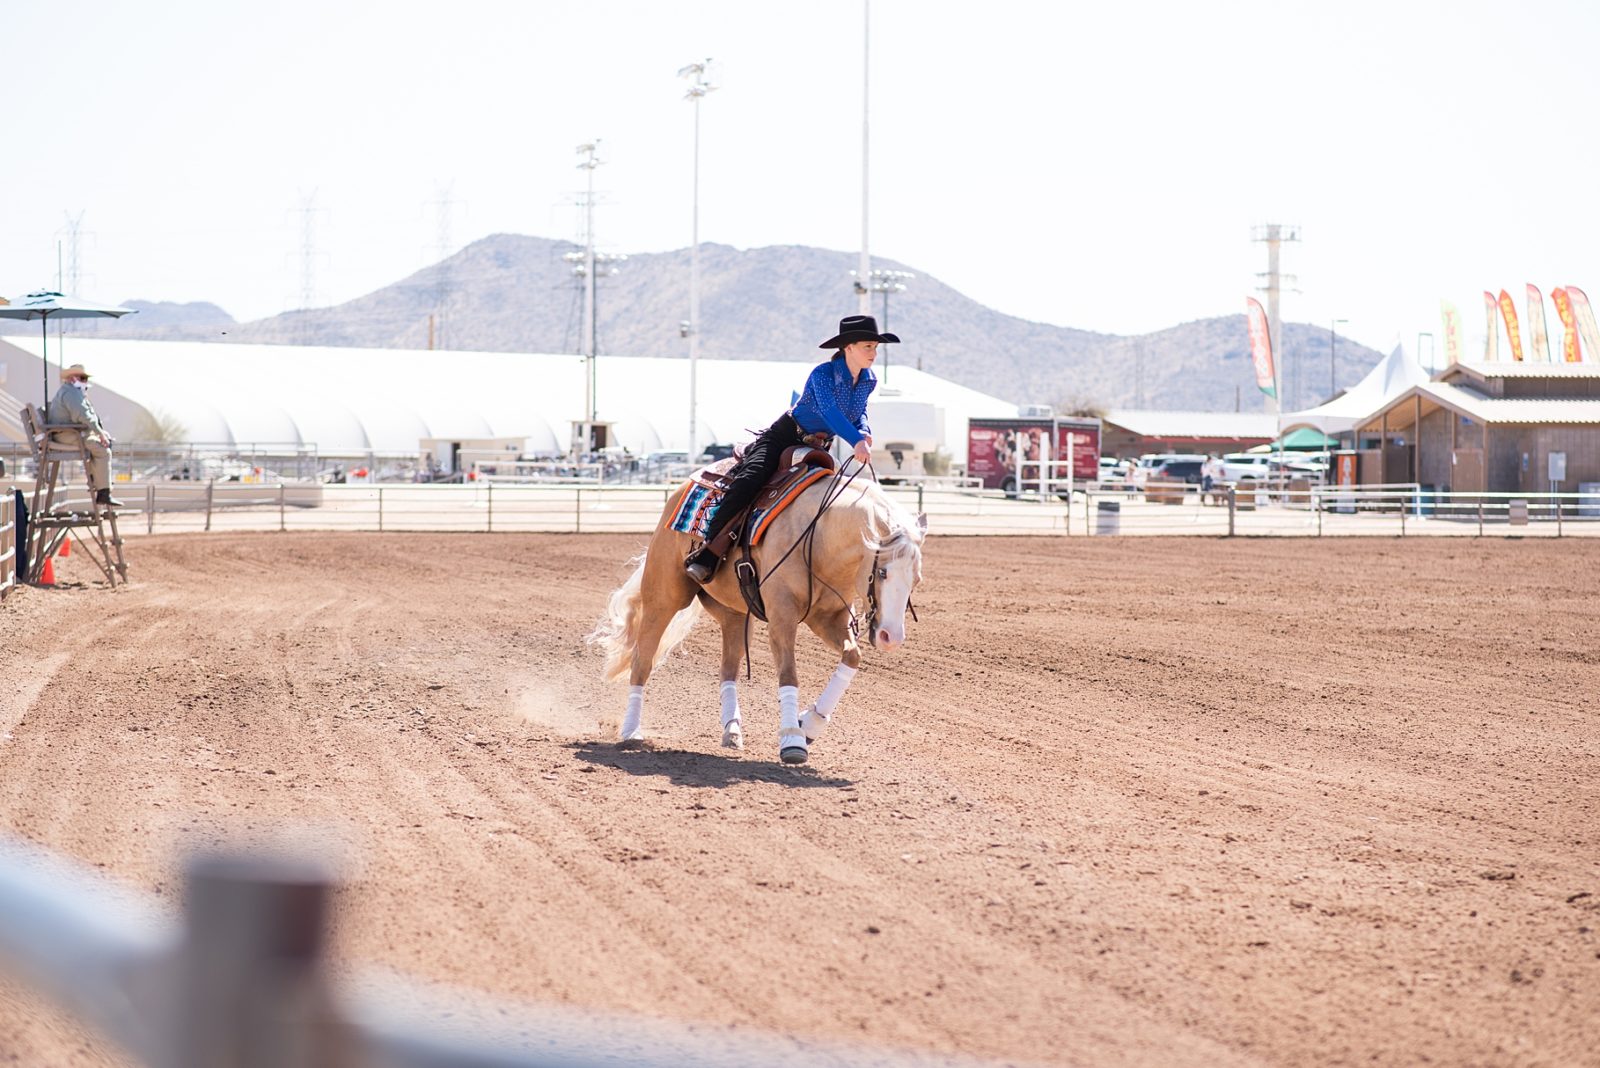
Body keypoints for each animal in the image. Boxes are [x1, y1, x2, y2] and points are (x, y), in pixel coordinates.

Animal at [595, 470, 928, 764]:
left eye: (917, 579)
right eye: (882, 572)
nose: (891, 637)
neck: (819, 534)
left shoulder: (829, 618)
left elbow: (852, 657)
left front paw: (810, 724)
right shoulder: (782, 616)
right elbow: (789, 674)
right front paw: (792, 739)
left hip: (733, 614)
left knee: (728, 669)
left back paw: (732, 731)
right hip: (663, 597)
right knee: (642, 661)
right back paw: (631, 731)